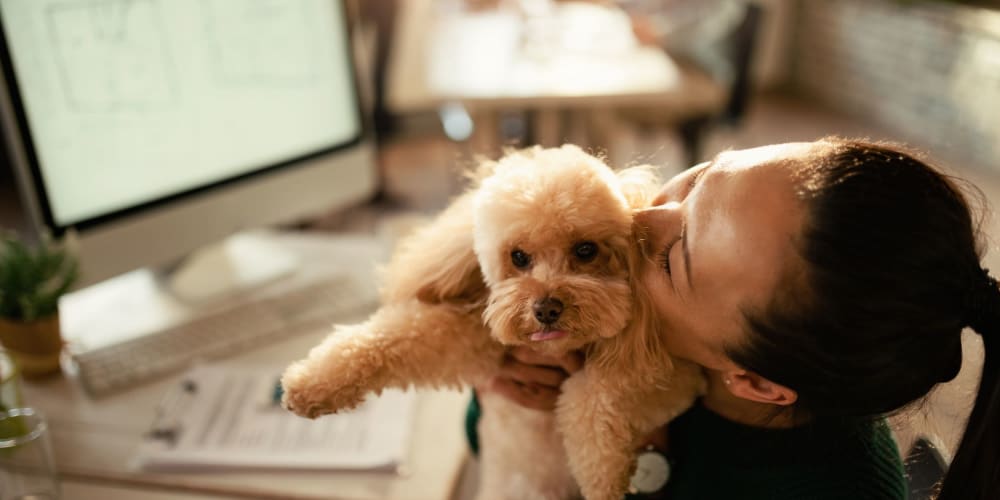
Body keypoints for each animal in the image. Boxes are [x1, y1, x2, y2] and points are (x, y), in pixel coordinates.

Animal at [282, 145, 704, 500]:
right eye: (518, 257)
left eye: (586, 250)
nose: (546, 308)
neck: (554, 352)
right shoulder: (472, 341)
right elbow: (393, 338)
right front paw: (310, 385)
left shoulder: (673, 376)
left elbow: (598, 389)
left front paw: (602, 474)